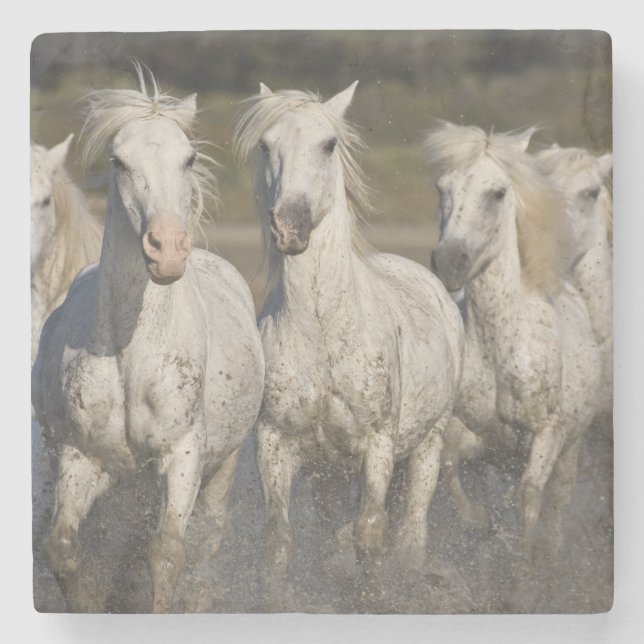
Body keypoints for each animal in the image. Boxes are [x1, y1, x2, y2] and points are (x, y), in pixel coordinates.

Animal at [234, 82, 464, 606]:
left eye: (328, 144)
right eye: (266, 146)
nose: (290, 226)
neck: (323, 330)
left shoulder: (377, 445)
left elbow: (369, 533)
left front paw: (371, 597)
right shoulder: (274, 444)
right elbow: (279, 539)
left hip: (427, 444)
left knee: (411, 530)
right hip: (330, 474)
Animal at [425, 122, 602, 559]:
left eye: (498, 193)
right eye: (442, 187)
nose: (449, 263)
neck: (500, 349)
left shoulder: (548, 434)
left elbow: (530, 495)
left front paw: (524, 562)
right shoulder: (473, 435)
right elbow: (450, 470)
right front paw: (478, 521)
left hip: (572, 447)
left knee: (559, 501)